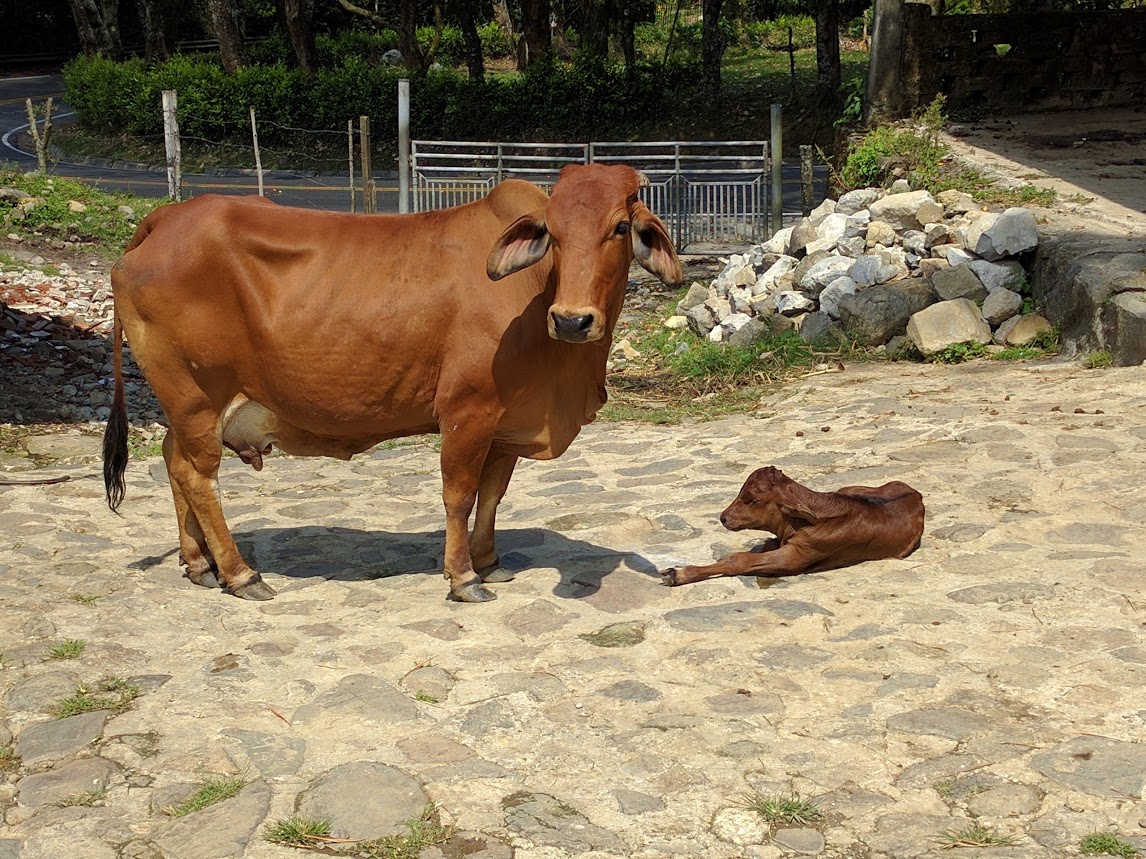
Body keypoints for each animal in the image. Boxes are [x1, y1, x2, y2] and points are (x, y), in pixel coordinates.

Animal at [103, 164, 681, 603]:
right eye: (553, 233)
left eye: (620, 228)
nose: (572, 320)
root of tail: (166, 217)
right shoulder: (466, 411)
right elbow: (460, 496)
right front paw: (463, 576)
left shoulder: (506, 423)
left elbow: (494, 495)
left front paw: (489, 561)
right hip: (195, 396)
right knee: (198, 477)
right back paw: (240, 574)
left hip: (185, 406)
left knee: (173, 462)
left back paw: (199, 563)